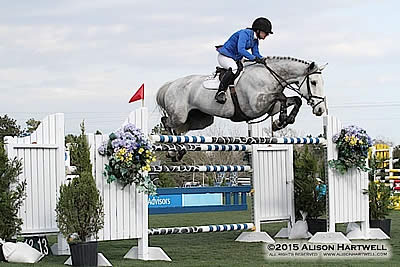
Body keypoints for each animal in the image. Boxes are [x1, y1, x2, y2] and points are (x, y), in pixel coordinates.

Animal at [155, 56, 324, 136]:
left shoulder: (270, 107)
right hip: (179, 115)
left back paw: (177, 152)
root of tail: (170, 85)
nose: (320, 110)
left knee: (179, 129)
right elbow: (281, 97)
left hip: (200, 120)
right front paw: (281, 120)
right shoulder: (255, 106)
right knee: (166, 122)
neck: (269, 75)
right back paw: (175, 151)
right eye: (314, 82)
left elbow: (295, 100)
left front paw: (281, 122)